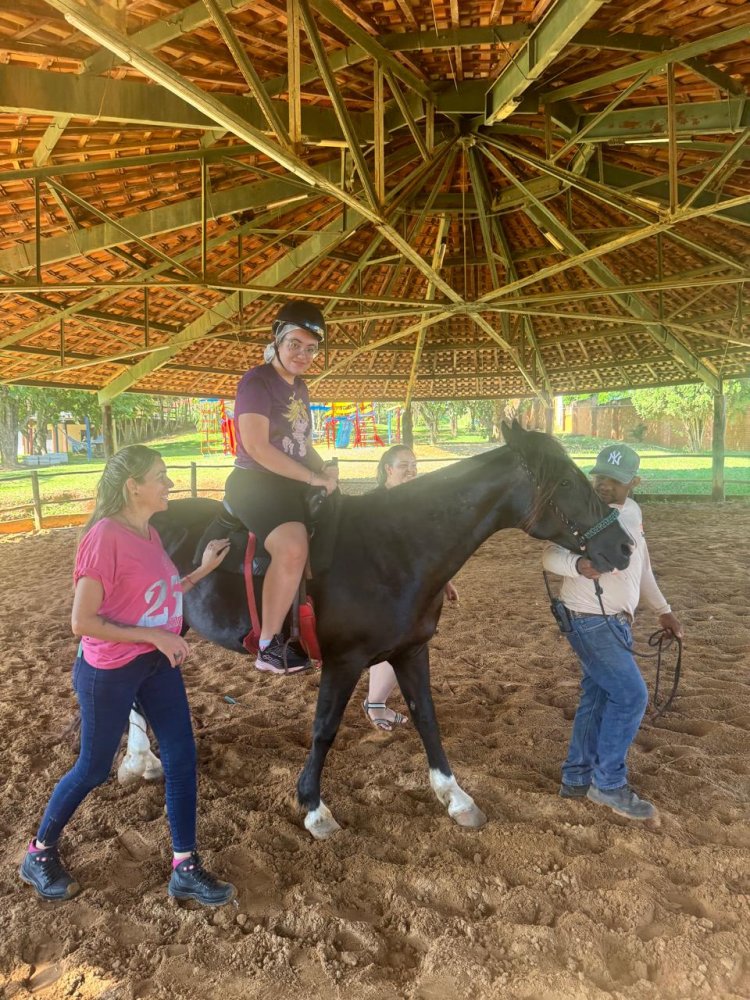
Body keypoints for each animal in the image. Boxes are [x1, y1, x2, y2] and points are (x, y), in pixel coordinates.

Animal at [150, 422, 632, 836]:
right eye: (565, 482)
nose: (624, 547)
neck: (393, 547)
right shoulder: (343, 662)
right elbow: (324, 729)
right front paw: (314, 808)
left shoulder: (411, 651)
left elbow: (426, 718)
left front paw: (455, 797)